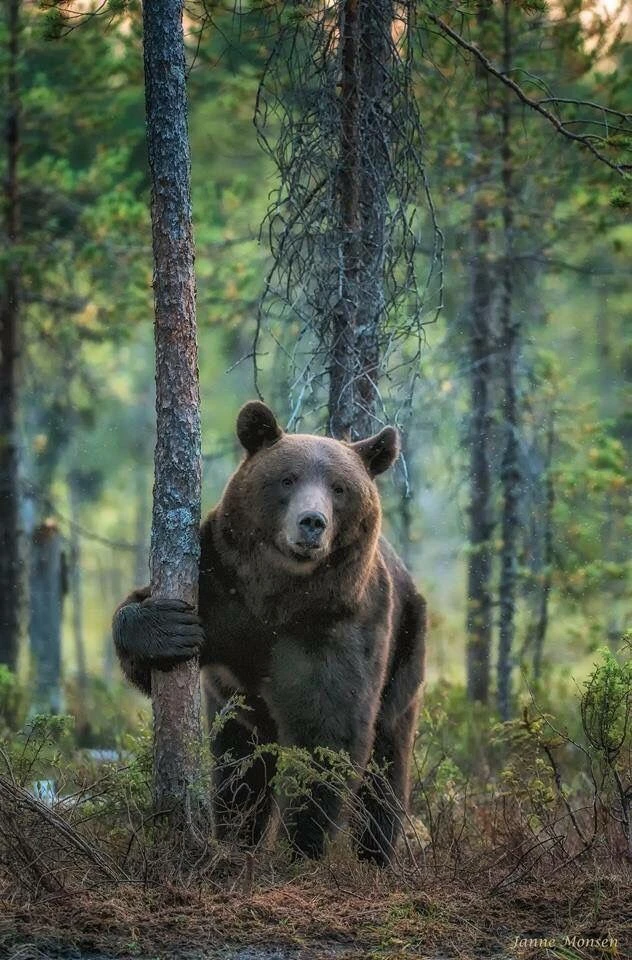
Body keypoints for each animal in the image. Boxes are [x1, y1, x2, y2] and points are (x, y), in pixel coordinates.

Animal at [113, 401, 426, 864]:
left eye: (339, 488)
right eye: (287, 478)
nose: (312, 522)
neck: (279, 596)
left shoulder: (337, 624)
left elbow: (328, 728)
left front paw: (303, 845)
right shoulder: (222, 586)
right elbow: (141, 617)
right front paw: (168, 628)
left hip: (405, 652)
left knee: (387, 765)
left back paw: (375, 854)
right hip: (239, 714)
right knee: (239, 772)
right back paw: (235, 834)